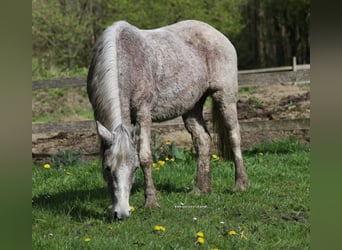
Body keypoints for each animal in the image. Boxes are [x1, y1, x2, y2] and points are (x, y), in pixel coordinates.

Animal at [87, 20, 248, 219]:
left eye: (135, 169)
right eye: (107, 169)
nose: (122, 213)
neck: (125, 59)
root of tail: (217, 34)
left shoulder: (143, 112)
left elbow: (145, 156)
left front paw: (151, 202)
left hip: (224, 97)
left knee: (234, 136)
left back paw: (240, 184)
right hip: (192, 107)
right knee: (203, 140)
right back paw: (200, 189)